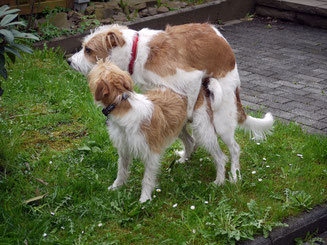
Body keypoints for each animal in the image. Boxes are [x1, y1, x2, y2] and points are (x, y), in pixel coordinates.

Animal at [69, 23, 274, 186]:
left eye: (88, 50)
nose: (69, 61)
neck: (137, 52)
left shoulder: (191, 79)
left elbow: (190, 102)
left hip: (222, 121)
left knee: (234, 148)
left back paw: (234, 175)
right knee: (192, 141)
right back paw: (185, 157)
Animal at [88, 61, 272, 203]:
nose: (97, 60)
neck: (123, 104)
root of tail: (203, 86)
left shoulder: (151, 153)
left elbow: (147, 179)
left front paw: (144, 199)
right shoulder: (124, 149)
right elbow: (121, 170)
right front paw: (116, 186)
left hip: (206, 131)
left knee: (224, 155)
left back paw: (221, 180)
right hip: (179, 127)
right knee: (191, 142)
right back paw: (184, 159)